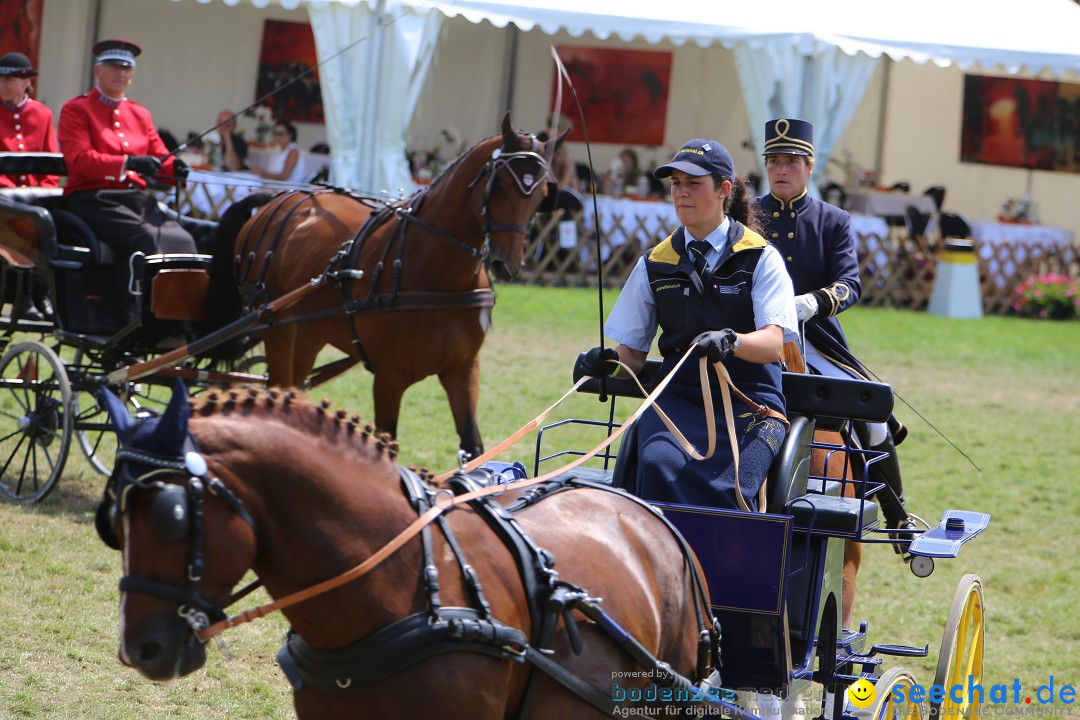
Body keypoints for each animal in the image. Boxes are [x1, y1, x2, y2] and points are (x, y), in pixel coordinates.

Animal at [205, 115, 570, 459]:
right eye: (501, 186)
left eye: (541, 195)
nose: (506, 264)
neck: (436, 276)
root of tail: (277, 198)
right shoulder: (388, 378)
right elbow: (387, 445)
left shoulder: (463, 369)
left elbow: (472, 446)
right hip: (277, 325)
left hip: (308, 331)